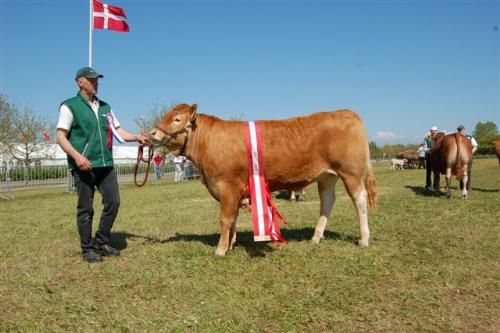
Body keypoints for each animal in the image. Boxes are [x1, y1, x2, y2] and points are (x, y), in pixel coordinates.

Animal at [150, 102, 376, 255]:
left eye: (177, 119)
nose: (152, 133)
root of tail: (347, 112)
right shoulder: (235, 190)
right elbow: (233, 218)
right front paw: (231, 244)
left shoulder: (227, 186)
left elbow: (225, 218)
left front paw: (220, 249)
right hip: (327, 176)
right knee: (327, 201)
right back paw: (316, 237)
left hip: (350, 172)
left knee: (360, 199)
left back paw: (364, 239)